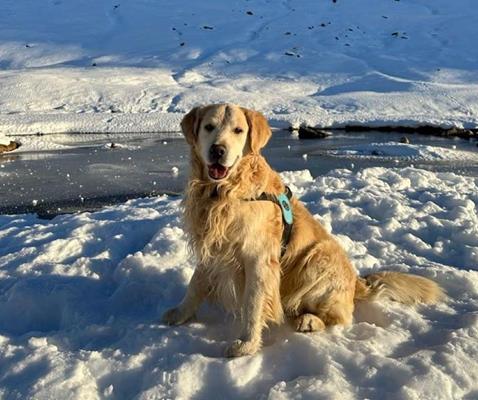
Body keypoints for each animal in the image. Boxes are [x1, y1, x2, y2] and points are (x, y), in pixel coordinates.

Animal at [162, 103, 444, 356]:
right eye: (209, 127)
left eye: (238, 130)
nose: (218, 150)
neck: (222, 193)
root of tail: (356, 282)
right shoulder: (213, 247)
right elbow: (195, 283)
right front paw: (180, 313)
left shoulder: (259, 259)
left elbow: (253, 304)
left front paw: (246, 344)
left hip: (317, 258)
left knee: (341, 317)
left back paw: (309, 320)